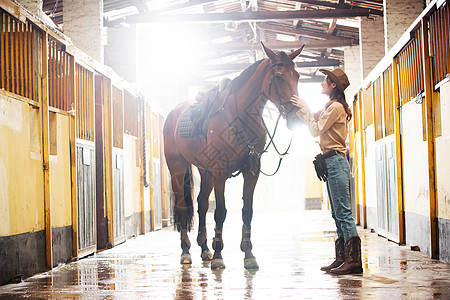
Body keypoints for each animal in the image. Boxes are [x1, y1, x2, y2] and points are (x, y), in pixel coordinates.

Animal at [163, 42, 304, 270]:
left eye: (297, 76)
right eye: (279, 76)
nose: (296, 117)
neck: (240, 117)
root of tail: (173, 114)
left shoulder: (252, 170)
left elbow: (247, 210)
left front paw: (248, 254)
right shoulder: (221, 171)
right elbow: (220, 212)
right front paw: (219, 255)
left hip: (205, 171)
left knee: (202, 204)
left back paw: (205, 249)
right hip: (178, 168)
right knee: (184, 207)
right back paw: (186, 252)